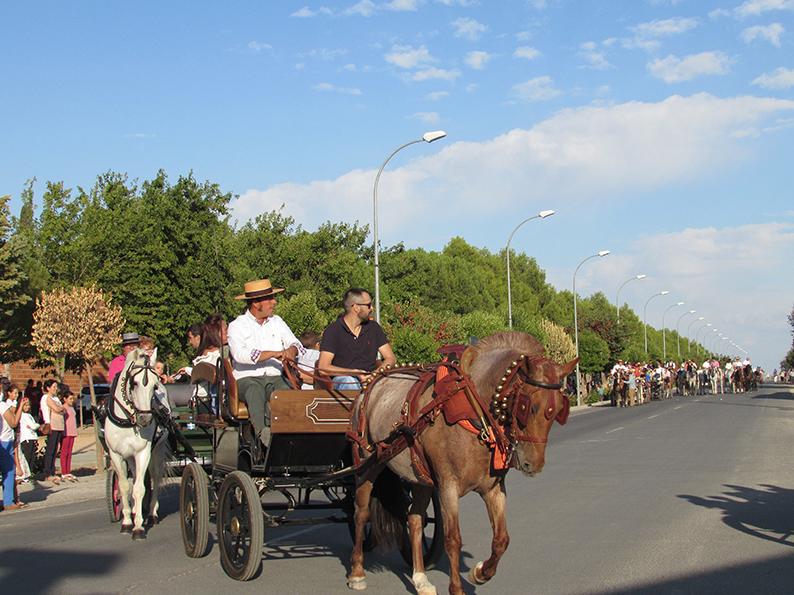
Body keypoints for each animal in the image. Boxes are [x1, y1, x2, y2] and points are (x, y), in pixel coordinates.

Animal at [104, 348, 169, 540]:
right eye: (133, 383)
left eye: (155, 386)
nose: (145, 418)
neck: (128, 420)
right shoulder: (115, 454)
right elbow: (125, 487)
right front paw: (127, 522)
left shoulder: (143, 452)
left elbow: (140, 488)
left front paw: (138, 527)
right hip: (130, 457)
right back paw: (135, 511)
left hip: (158, 450)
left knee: (155, 477)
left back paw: (152, 513)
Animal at [346, 331, 578, 595]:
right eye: (528, 407)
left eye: (559, 411)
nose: (534, 465)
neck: (475, 410)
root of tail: (371, 382)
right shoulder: (448, 488)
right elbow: (453, 540)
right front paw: (457, 588)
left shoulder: (493, 488)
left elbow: (502, 539)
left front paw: (481, 573)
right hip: (367, 464)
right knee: (361, 512)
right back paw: (357, 571)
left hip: (419, 476)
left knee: (415, 519)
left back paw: (420, 579)